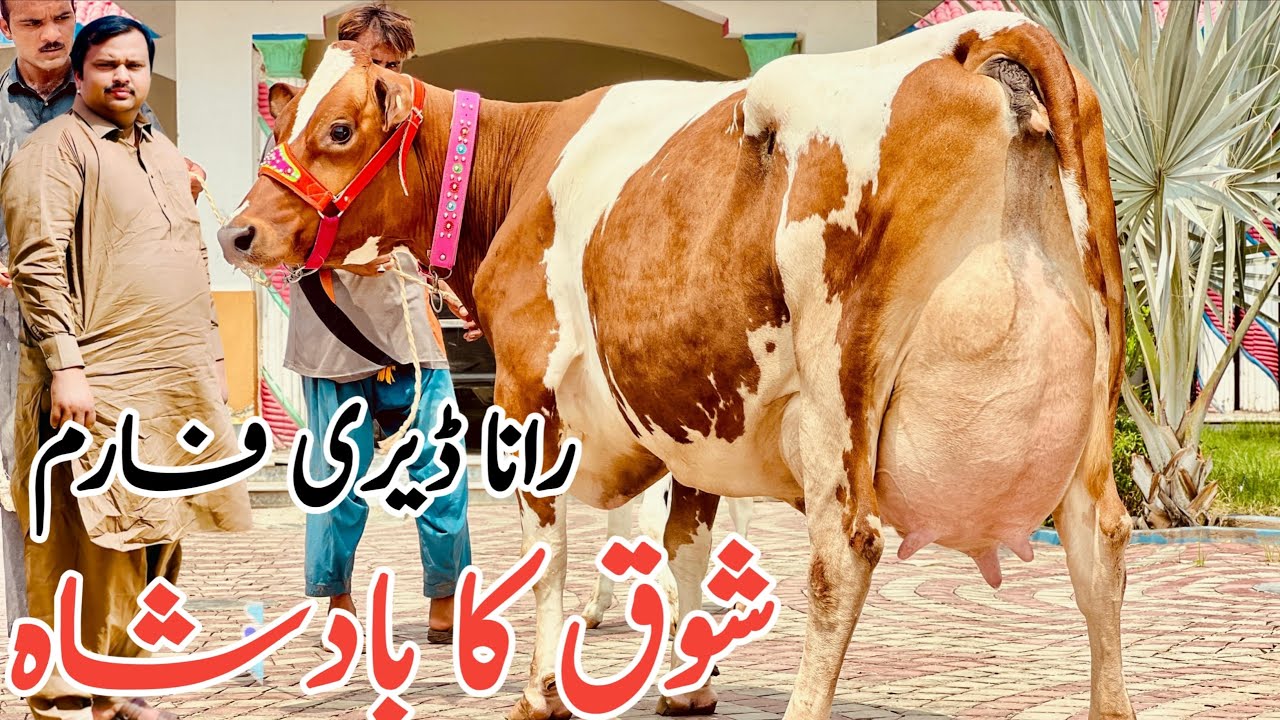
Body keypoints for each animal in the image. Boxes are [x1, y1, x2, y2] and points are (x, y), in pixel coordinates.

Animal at [218, 11, 1134, 720]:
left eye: (339, 131)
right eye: (284, 124)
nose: (237, 232)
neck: (520, 168)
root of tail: (970, 39)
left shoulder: (526, 391)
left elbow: (549, 551)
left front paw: (540, 692)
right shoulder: (693, 407)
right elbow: (683, 543)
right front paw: (689, 687)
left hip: (840, 392)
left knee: (843, 555)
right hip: (1093, 406)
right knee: (1101, 542)